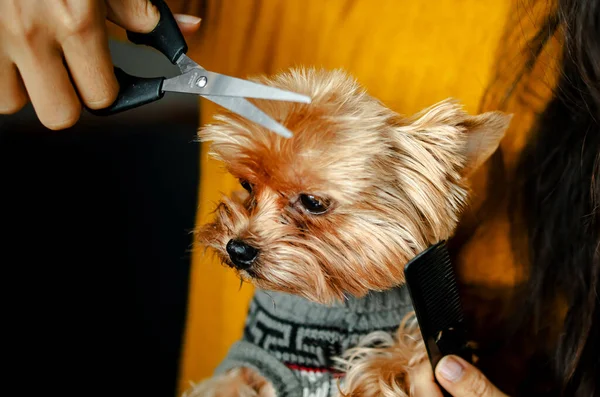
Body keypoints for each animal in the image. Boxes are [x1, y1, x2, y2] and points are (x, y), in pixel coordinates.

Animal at [184, 66, 510, 394]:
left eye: (313, 202)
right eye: (246, 185)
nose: (237, 249)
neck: (339, 302)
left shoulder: (420, 339)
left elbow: (405, 355)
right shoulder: (247, 362)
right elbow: (224, 385)